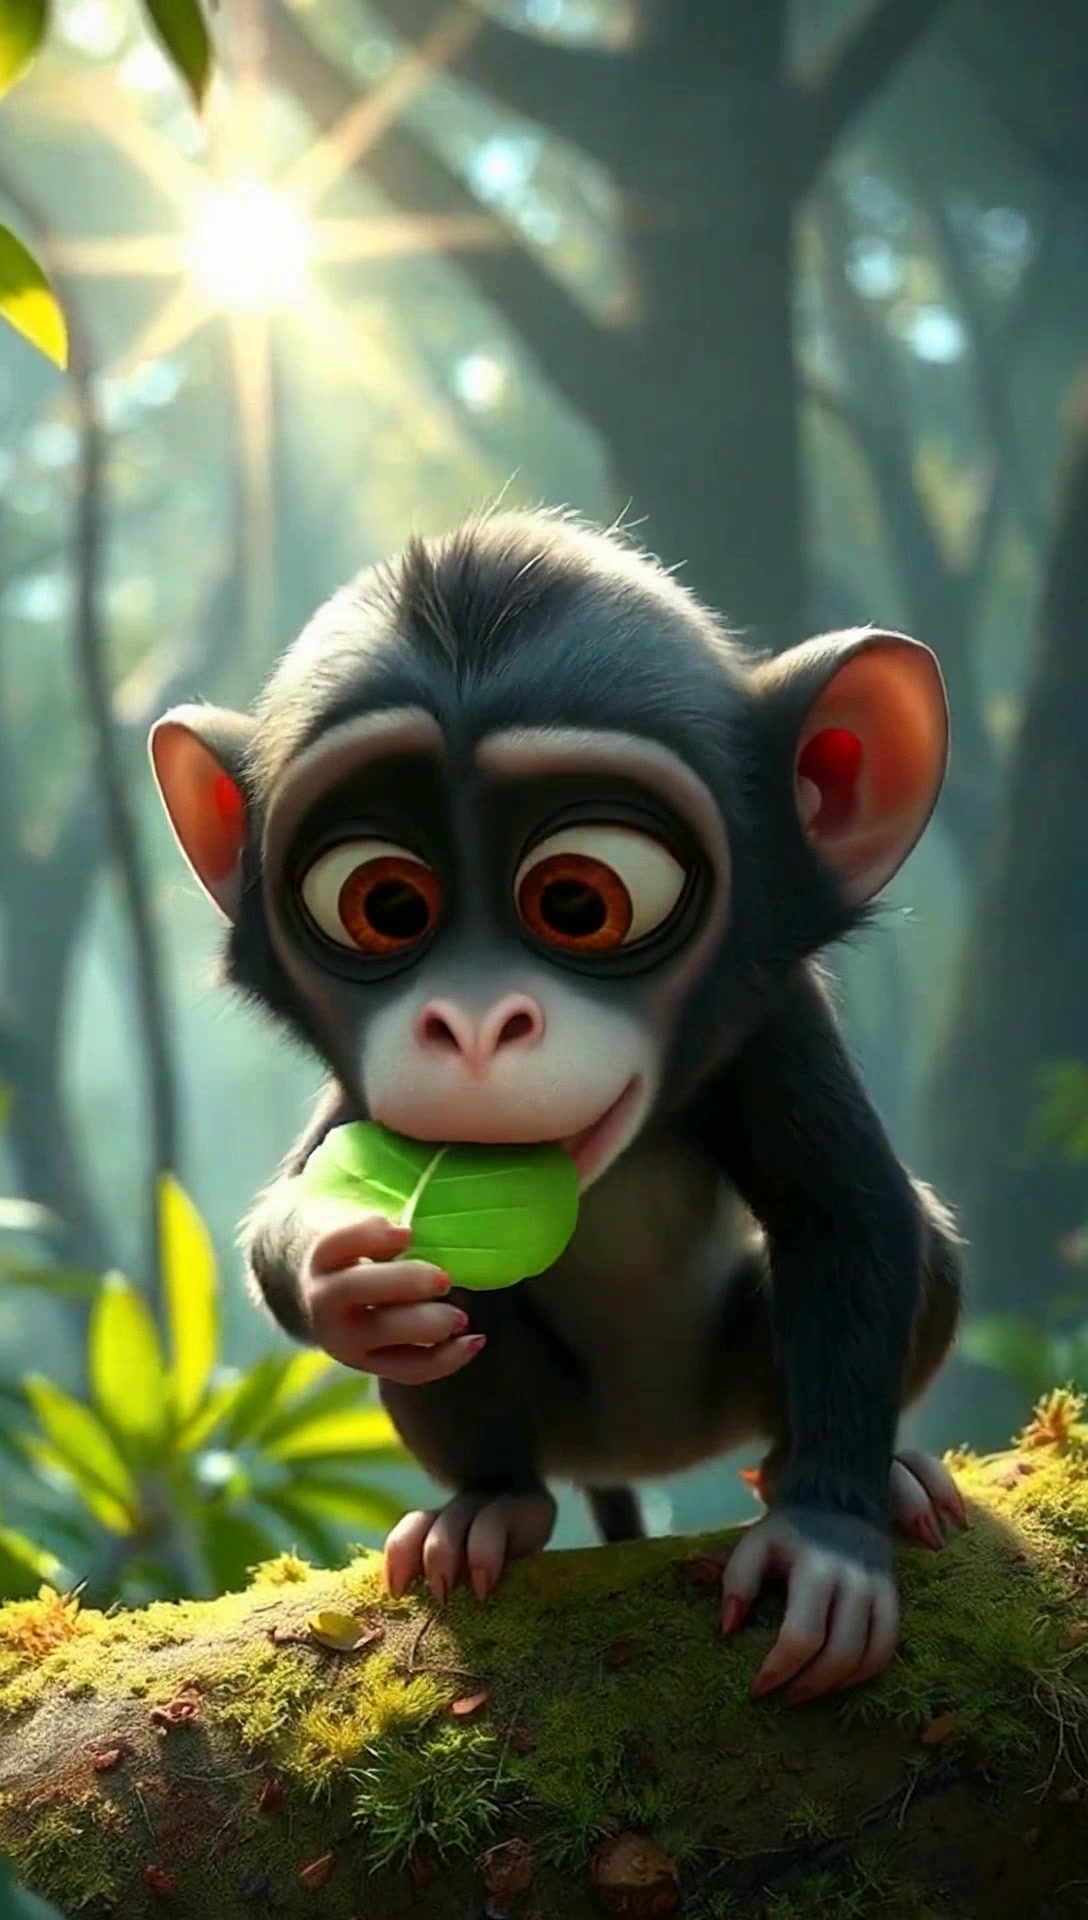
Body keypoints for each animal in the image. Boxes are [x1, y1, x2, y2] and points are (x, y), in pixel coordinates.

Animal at [149, 508, 966, 1706]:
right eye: (383, 904)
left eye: (579, 900)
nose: (476, 1025)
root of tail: (640, 1455)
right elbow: (295, 1213)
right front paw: (339, 1272)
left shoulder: (775, 1029)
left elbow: (847, 1218)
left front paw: (828, 1539)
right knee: (460, 1325)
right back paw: (490, 1505)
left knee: (920, 1254)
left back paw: (867, 1475)